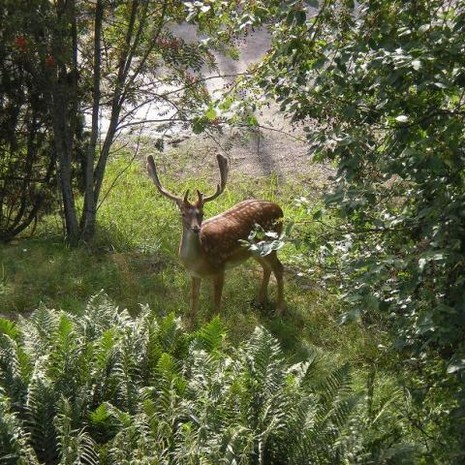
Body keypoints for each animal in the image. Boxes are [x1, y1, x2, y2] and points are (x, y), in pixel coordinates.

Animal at [146, 153, 285, 320]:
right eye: (183, 214)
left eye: (202, 213)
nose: (196, 229)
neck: (199, 259)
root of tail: (280, 209)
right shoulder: (194, 274)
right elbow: (193, 300)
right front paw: (192, 324)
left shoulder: (220, 268)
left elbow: (216, 303)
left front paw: (216, 323)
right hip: (255, 251)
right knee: (267, 267)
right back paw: (259, 301)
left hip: (272, 241)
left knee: (279, 268)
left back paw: (278, 310)